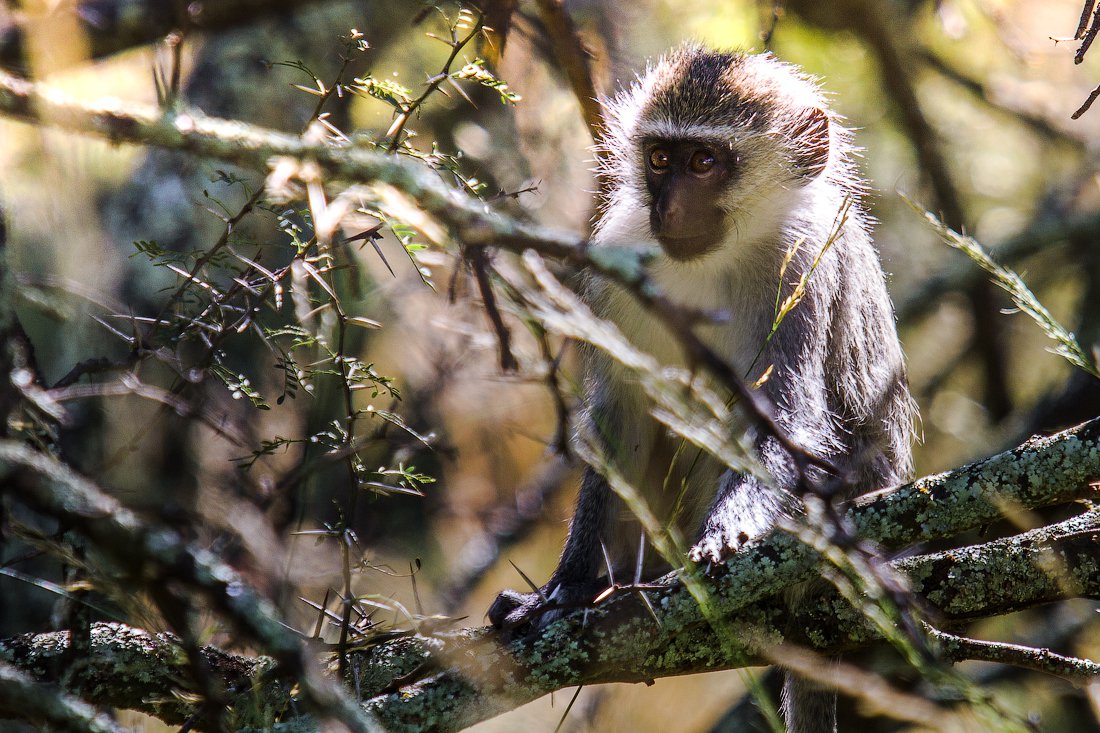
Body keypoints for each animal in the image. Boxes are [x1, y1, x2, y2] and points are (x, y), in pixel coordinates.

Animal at [490, 47, 910, 730]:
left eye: (705, 162)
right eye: (661, 159)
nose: (668, 209)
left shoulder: (799, 263)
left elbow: (786, 414)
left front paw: (728, 532)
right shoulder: (618, 258)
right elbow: (623, 419)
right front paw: (567, 586)